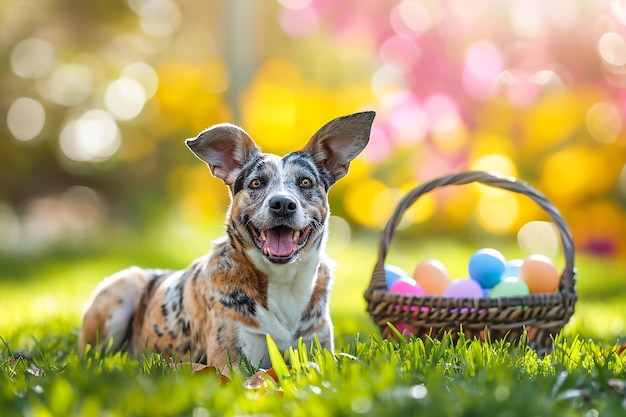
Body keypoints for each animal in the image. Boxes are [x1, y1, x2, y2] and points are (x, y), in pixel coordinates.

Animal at [76, 109, 372, 370]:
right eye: (256, 183)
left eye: (306, 182)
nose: (282, 204)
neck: (282, 281)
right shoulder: (233, 365)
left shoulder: (319, 348)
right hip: (120, 291)